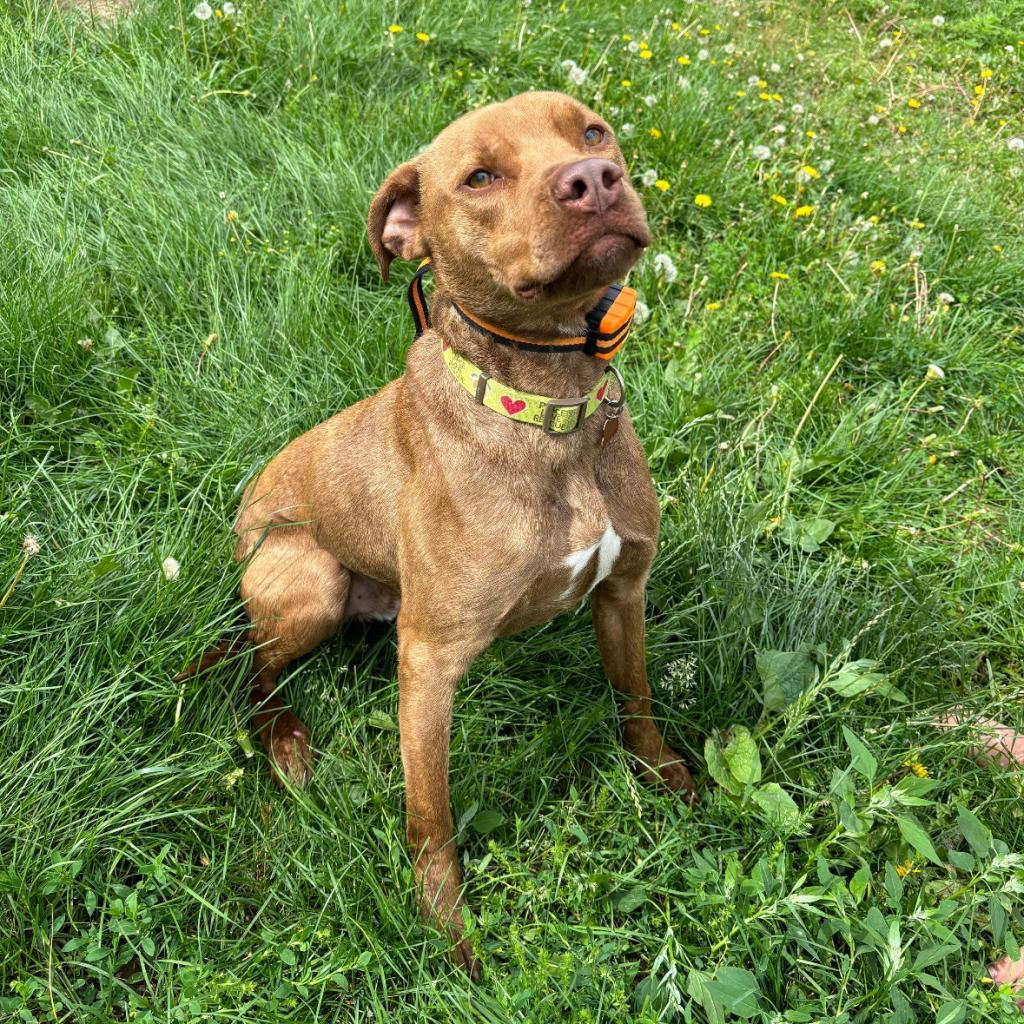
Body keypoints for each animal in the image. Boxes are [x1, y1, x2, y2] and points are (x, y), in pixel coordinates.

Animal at [182, 90, 696, 974]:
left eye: (592, 130)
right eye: (480, 177)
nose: (593, 181)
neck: (547, 407)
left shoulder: (624, 590)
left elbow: (636, 697)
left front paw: (664, 776)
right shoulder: (428, 662)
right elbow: (432, 820)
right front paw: (446, 934)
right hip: (310, 582)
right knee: (255, 672)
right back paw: (285, 741)